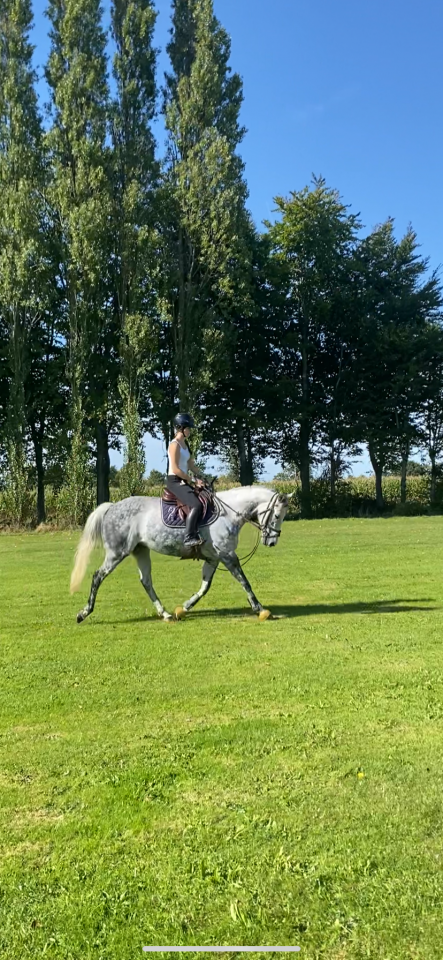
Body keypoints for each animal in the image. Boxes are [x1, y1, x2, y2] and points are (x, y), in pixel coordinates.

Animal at [70, 485, 289, 623]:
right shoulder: (227, 555)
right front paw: (260, 609)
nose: (271, 542)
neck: (228, 513)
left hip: (140, 551)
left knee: (146, 581)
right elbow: (244, 581)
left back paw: (165, 614)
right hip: (117, 552)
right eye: (277, 515)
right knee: (98, 576)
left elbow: (205, 587)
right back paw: (83, 613)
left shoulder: (214, 558)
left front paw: (183, 608)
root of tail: (112, 507)